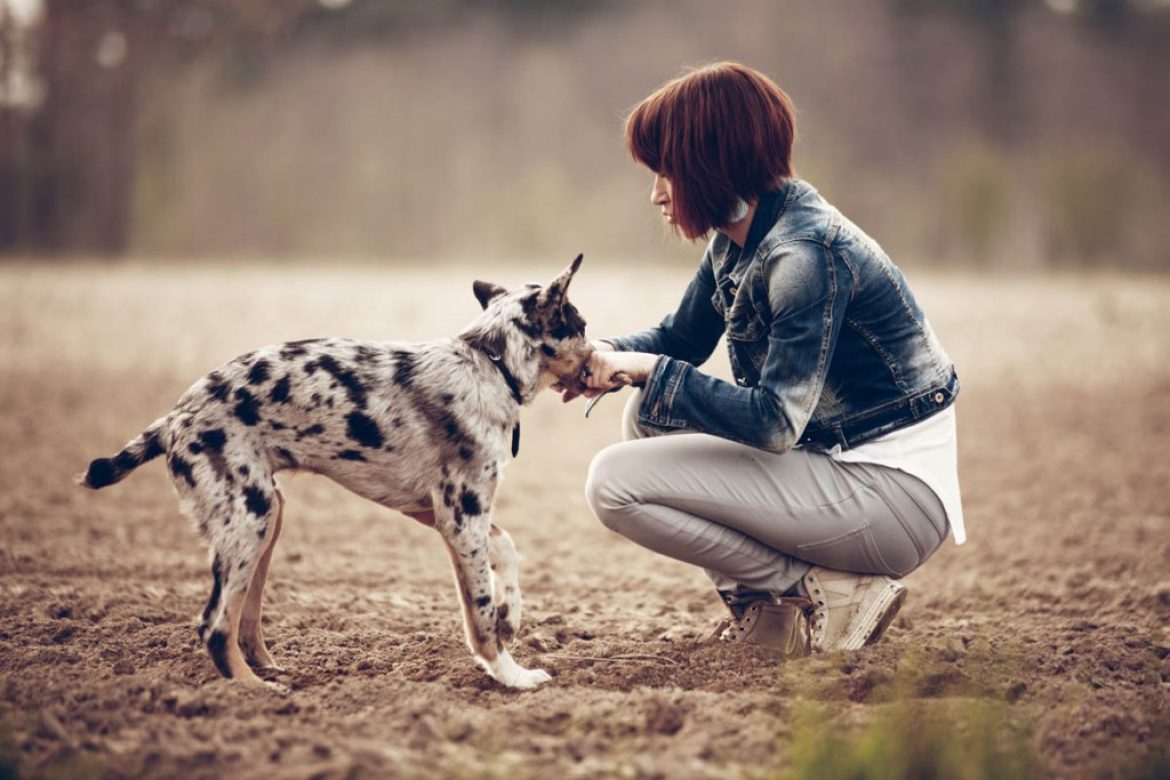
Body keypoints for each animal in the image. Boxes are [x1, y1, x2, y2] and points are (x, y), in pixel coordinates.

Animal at [80, 254, 594, 687]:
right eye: (582, 325)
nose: (600, 356)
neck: (489, 365)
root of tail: (175, 416)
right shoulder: (460, 516)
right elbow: (480, 613)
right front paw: (511, 675)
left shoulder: (436, 510)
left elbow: (506, 549)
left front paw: (513, 614)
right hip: (250, 518)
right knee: (214, 624)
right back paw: (255, 692)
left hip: (268, 517)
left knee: (244, 621)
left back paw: (270, 669)